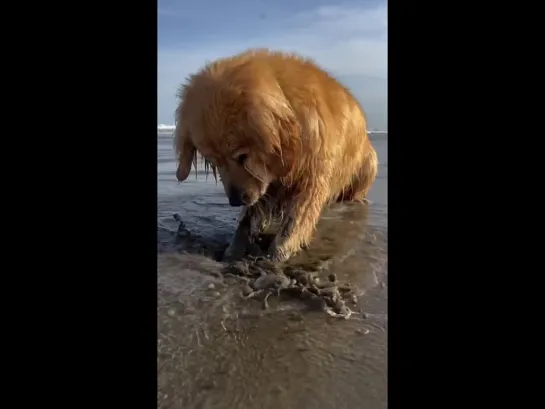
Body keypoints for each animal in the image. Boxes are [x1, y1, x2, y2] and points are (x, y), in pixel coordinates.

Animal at [174, 48, 378, 262]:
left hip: (369, 165)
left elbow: (294, 223)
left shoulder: (312, 179)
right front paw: (233, 250)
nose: (235, 200)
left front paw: (277, 255)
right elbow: (247, 218)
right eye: (215, 161)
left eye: (242, 156)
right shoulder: (263, 185)